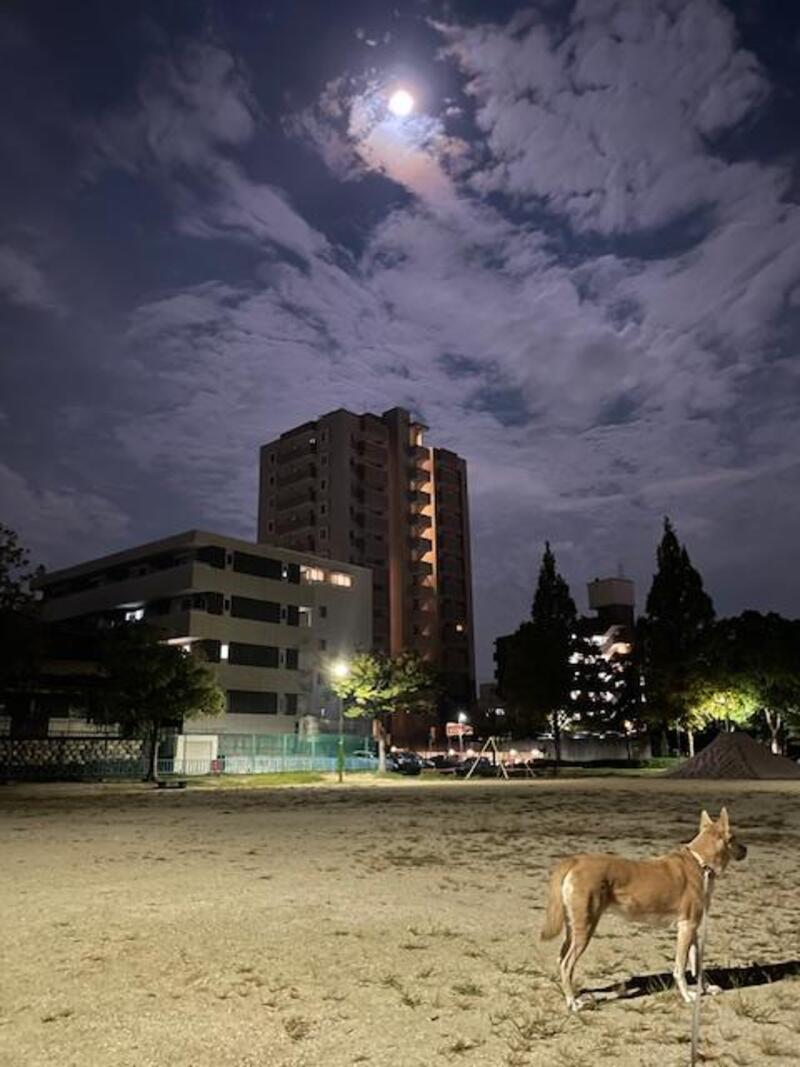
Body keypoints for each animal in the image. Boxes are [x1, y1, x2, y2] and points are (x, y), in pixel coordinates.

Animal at [541, 806, 750, 1007]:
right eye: (734, 838)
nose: (747, 849)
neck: (701, 863)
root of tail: (574, 860)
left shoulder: (693, 930)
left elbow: (698, 966)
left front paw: (706, 989)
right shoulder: (686, 928)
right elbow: (680, 969)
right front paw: (687, 996)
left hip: (573, 928)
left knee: (561, 960)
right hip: (585, 929)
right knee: (566, 964)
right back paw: (572, 1002)